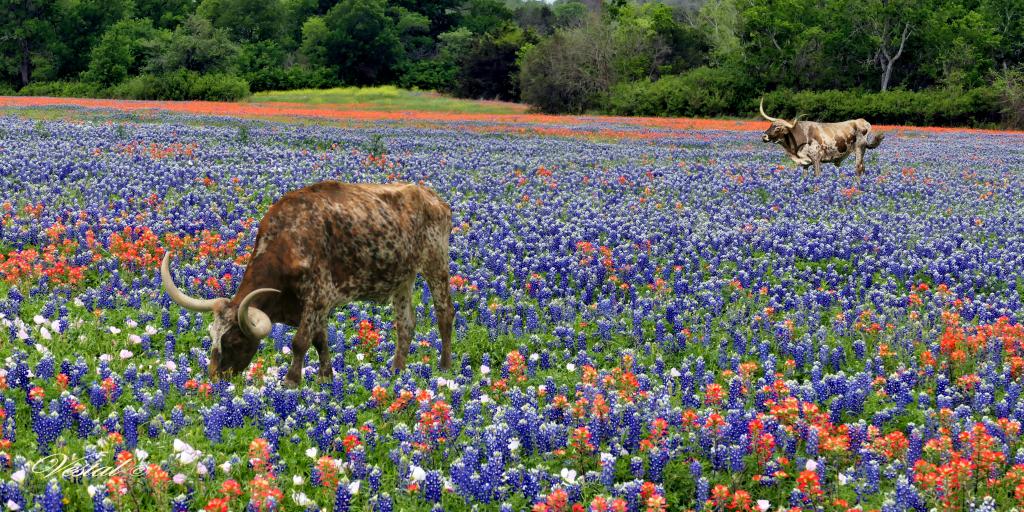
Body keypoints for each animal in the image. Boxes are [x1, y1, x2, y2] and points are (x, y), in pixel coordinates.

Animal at [159, 182, 452, 385]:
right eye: (211, 336)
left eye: (234, 340)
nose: (215, 379)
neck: (288, 239)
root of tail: (435, 199)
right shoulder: (317, 305)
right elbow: (320, 340)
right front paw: (326, 376)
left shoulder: (317, 295)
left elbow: (300, 341)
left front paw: (291, 381)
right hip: (403, 279)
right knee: (406, 325)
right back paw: (396, 371)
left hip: (436, 264)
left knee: (445, 314)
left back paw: (445, 367)